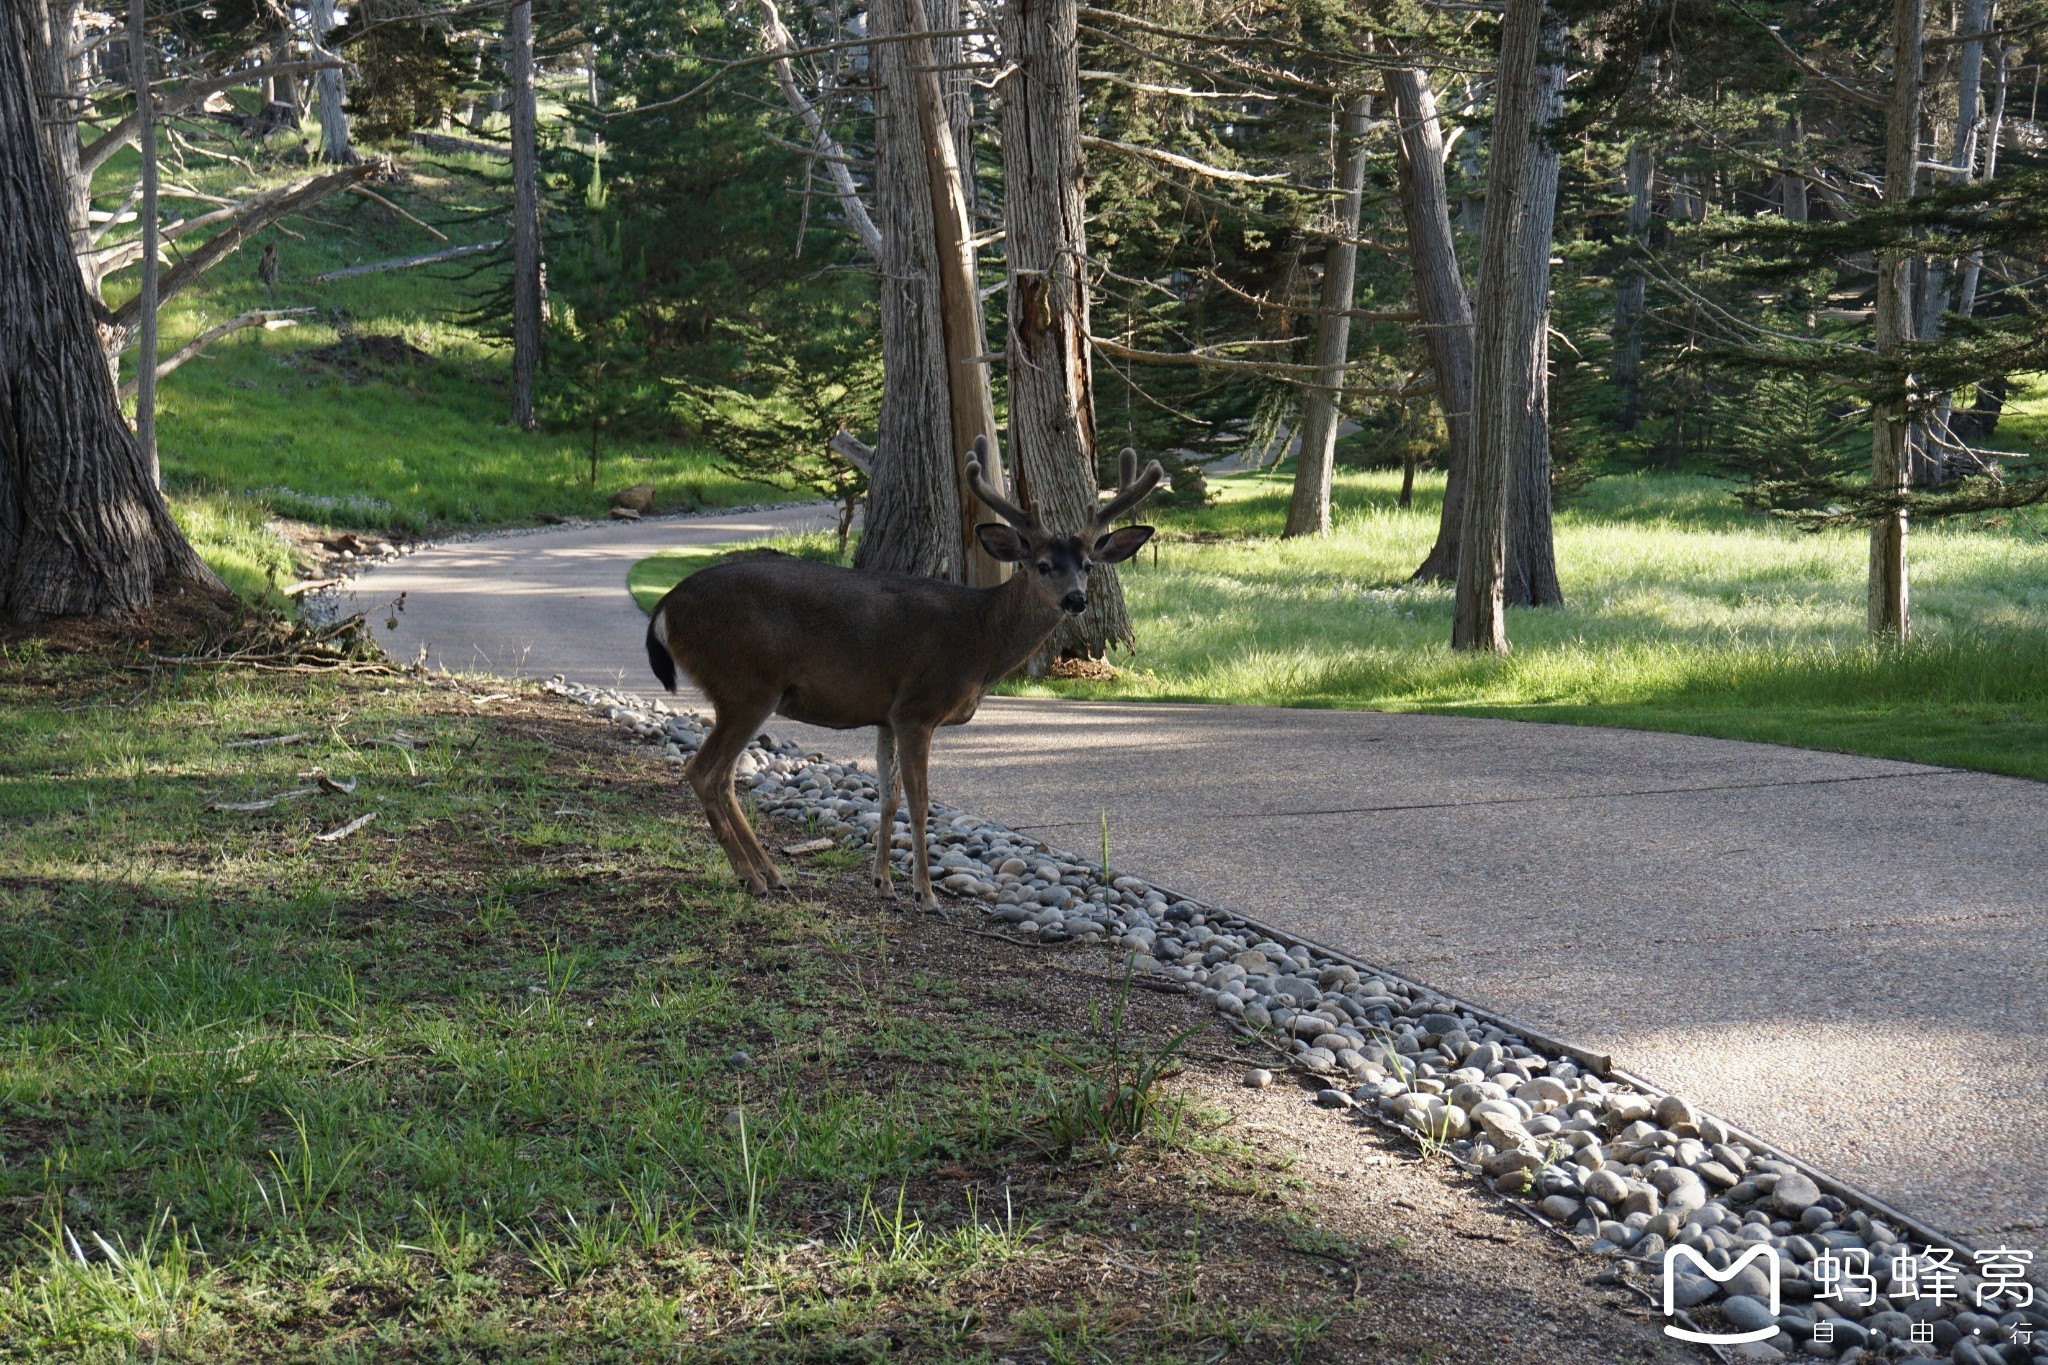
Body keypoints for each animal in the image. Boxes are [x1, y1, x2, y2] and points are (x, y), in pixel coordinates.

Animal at [647, 437, 1163, 908]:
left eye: (1088, 565)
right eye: (1042, 565)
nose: (1076, 599)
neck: (979, 640)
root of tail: (665, 608)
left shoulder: (886, 714)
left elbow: (888, 796)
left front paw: (883, 883)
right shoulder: (919, 706)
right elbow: (920, 801)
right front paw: (925, 892)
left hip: (742, 691)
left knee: (724, 777)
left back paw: (771, 873)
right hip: (746, 684)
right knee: (705, 772)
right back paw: (751, 877)